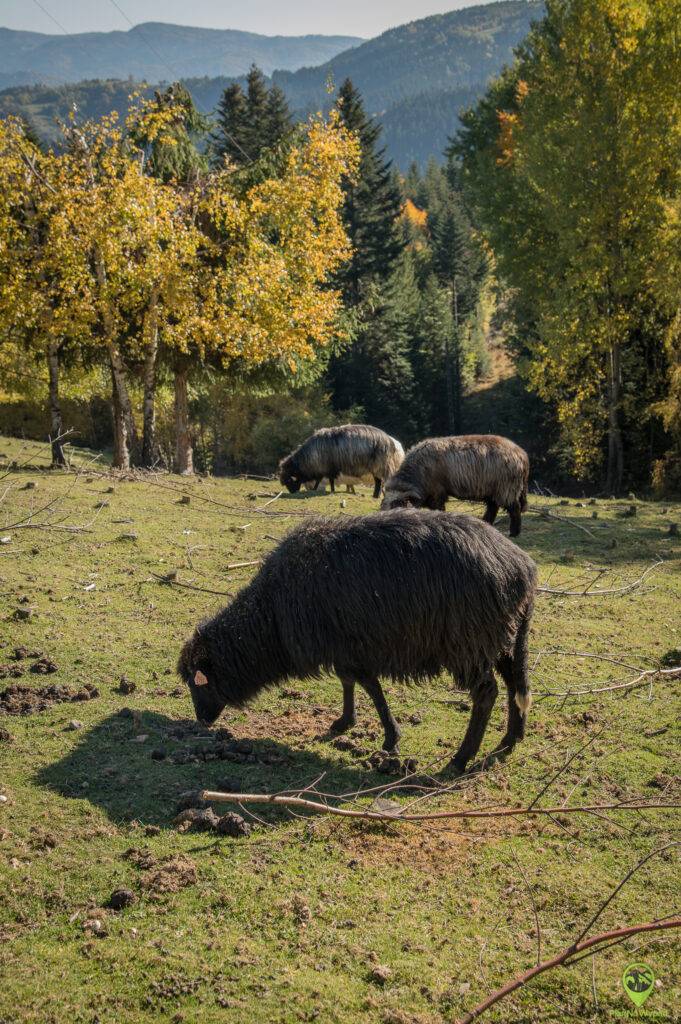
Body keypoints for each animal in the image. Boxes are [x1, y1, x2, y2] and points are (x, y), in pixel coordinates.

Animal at [176, 512, 536, 774]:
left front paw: (389, 738)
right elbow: (349, 682)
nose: (201, 721)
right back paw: (510, 739)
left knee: (487, 692)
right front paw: (345, 722)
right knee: (515, 683)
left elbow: (369, 687)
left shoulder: (351, 648)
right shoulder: (343, 648)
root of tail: (522, 567)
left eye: (197, 683)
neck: (271, 618)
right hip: (505, 637)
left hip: (469, 642)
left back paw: (460, 759)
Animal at [378, 434, 528, 536]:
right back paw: (487, 523)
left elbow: (438, 509)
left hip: (506, 488)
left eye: (398, 506)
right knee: (493, 507)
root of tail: (522, 454)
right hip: (493, 489)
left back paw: (514, 532)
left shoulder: (437, 492)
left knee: (514, 508)